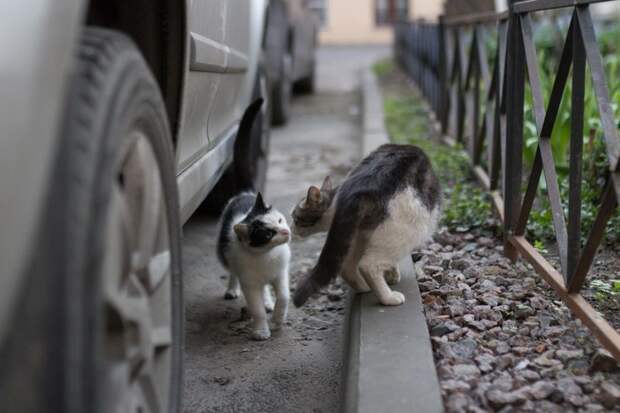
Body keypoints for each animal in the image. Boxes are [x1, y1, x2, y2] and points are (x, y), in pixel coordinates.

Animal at [217, 192, 292, 340]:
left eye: (280, 220)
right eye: (268, 234)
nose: (286, 232)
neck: (267, 254)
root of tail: (244, 194)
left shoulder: (280, 273)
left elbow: (284, 296)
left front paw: (277, 320)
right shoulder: (249, 283)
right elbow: (257, 309)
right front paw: (261, 331)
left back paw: (268, 303)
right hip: (229, 255)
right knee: (233, 271)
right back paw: (232, 289)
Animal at [290, 142, 440, 306]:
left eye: (295, 219)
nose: (291, 229)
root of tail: (358, 189)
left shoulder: (359, 235)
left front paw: (392, 274)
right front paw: (392, 276)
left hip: (360, 236)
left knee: (347, 267)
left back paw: (363, 287)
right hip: (409, 227)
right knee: (368, 265)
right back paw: (388, 297)